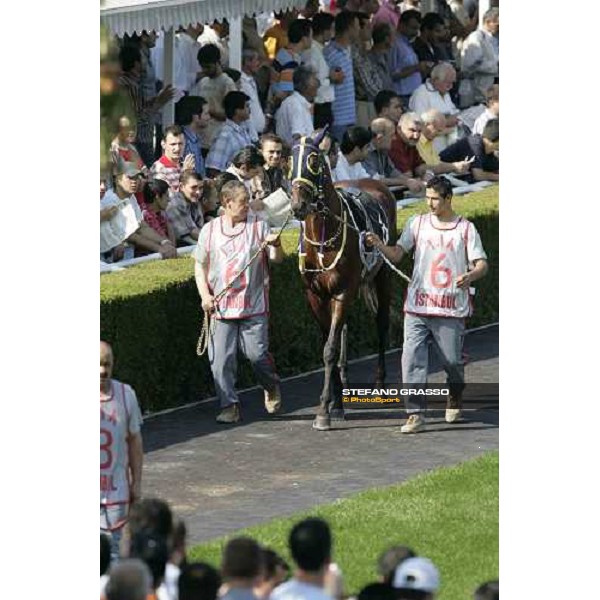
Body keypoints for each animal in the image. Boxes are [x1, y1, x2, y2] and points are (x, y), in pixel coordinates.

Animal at [290, 133, 398, 428]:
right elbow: (329, 343)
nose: (298, 205)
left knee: (381, 323)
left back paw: (380, 383)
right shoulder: (314, 295)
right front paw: (335, 404)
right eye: (288, 160)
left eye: (314, 160)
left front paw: (323, 411)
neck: (324, 238)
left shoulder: (343, 291)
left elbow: (330, 348)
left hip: (382, 275)